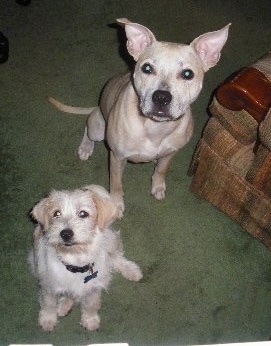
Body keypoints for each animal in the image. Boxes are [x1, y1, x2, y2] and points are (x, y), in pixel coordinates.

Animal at [28, 185, 143, 332]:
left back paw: (132, 271)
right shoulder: (48, 287)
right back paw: (64, 304)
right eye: (56, 213)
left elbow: (91, 305)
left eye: (83, 213)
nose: (65, 234)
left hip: (111, 241)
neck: (76, 260)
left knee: (116, 257)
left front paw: (90, 319)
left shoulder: (94, 288)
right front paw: (48, 319)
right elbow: (49, 304)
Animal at [48, 18, 230, 216]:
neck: (155, 127)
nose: (161, 97)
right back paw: (86, 148)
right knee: (88, 129)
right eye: (147, 68)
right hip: (98, 128)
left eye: (188, 74)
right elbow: (116, 183)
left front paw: (158, 186)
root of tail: (96, 108)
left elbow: (162, 170)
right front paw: (117, 204)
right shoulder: (116, 157)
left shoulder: (170, 153)